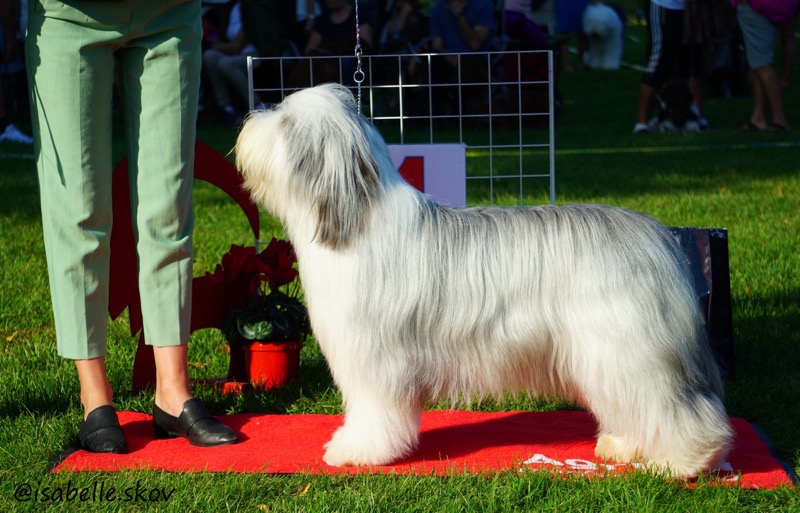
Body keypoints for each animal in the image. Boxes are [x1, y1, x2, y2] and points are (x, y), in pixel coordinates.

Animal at [236, 82, 732, 478]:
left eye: (285, 122)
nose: (251, 116)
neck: (355, 219)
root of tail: (658, 237)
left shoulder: (374, 359)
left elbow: (373, 412)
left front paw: (357, 450)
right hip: (615, 355)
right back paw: (625, 446)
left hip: (628, 347)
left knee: (677, 407)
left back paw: (684, 462)